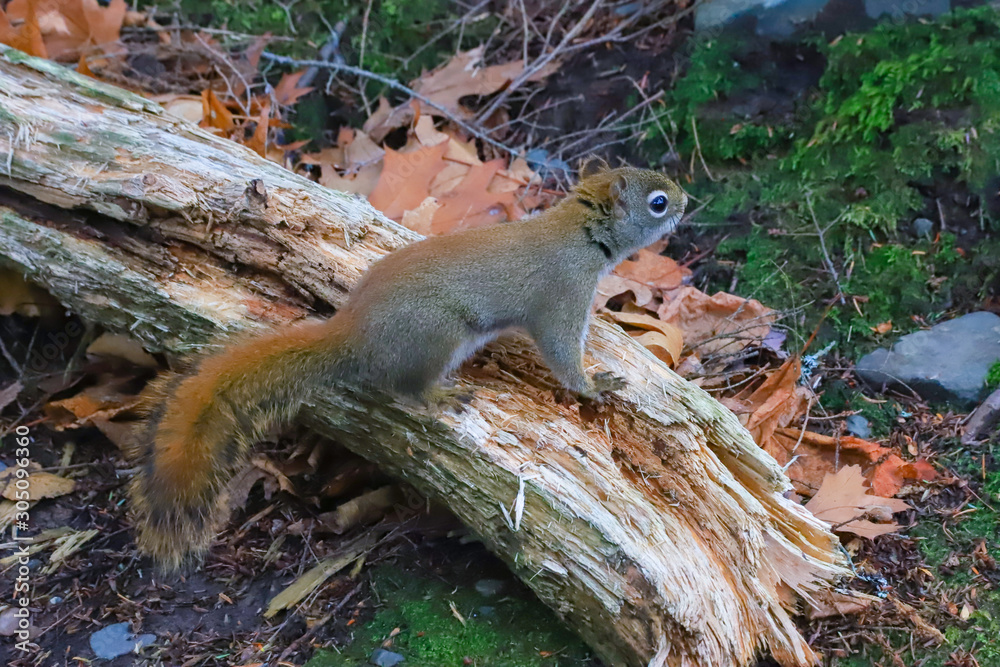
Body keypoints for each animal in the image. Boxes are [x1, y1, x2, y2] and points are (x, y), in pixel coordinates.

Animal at [128, 158, 687, 570]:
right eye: (658, 203)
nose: (687, 202)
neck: (578, 230)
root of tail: (355, 335)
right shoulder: (561, 295)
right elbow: (562, 352)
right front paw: (594, 385)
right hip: (437, 336)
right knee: (408, 389)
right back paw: (441, 394)